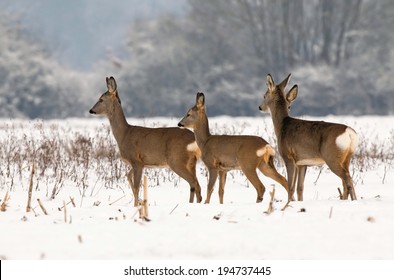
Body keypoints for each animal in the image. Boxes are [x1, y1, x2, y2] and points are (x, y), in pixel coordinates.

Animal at [88, 76, 202, 206]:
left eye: (101, 99)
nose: (91, 110)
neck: (124, 134)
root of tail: (194, 139)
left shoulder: (136, 160)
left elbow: (137, 186)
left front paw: (136, 205)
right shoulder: (139, 163)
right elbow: (128, 176)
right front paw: (140, 203)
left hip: (177, 160)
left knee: (193, 182)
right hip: (191, 162)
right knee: (197, 184)